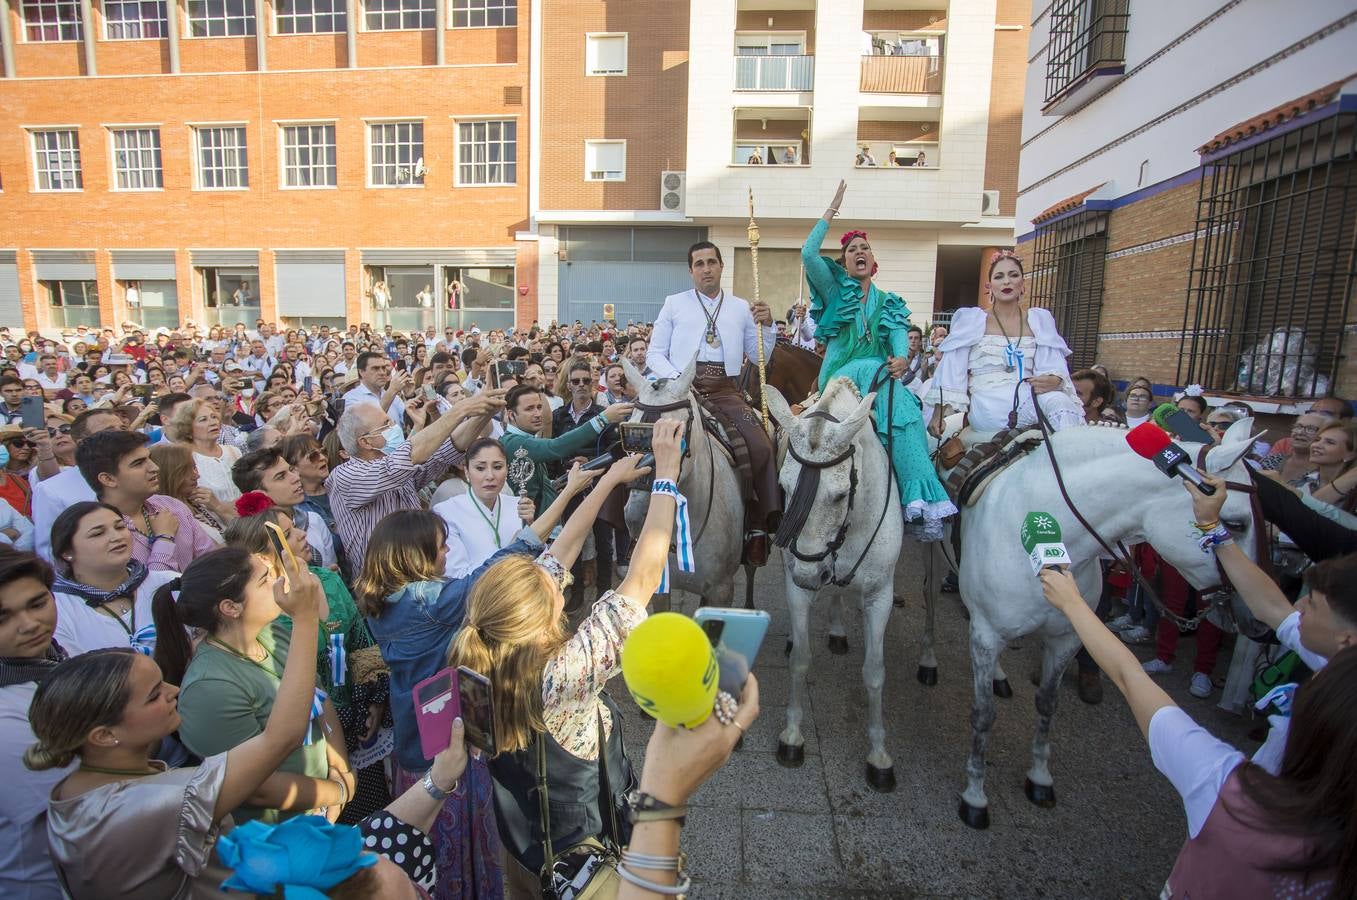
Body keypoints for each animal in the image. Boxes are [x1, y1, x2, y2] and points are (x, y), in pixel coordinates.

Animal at [765, 377, 901, 792]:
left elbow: (875, 672)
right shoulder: (795, 587)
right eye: (783, 485)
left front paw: (879, 755)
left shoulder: (880, 595)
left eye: (840, 495)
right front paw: (792, 736)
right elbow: (800, 659)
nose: (809, 575)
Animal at [939, 418, 1253, 825]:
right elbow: (983, 714)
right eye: (1237, 523)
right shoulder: (986, 635)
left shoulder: (1067, 638)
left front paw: (1039, 778)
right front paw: (975, 796)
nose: (1255, 619)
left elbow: (1047, 703)